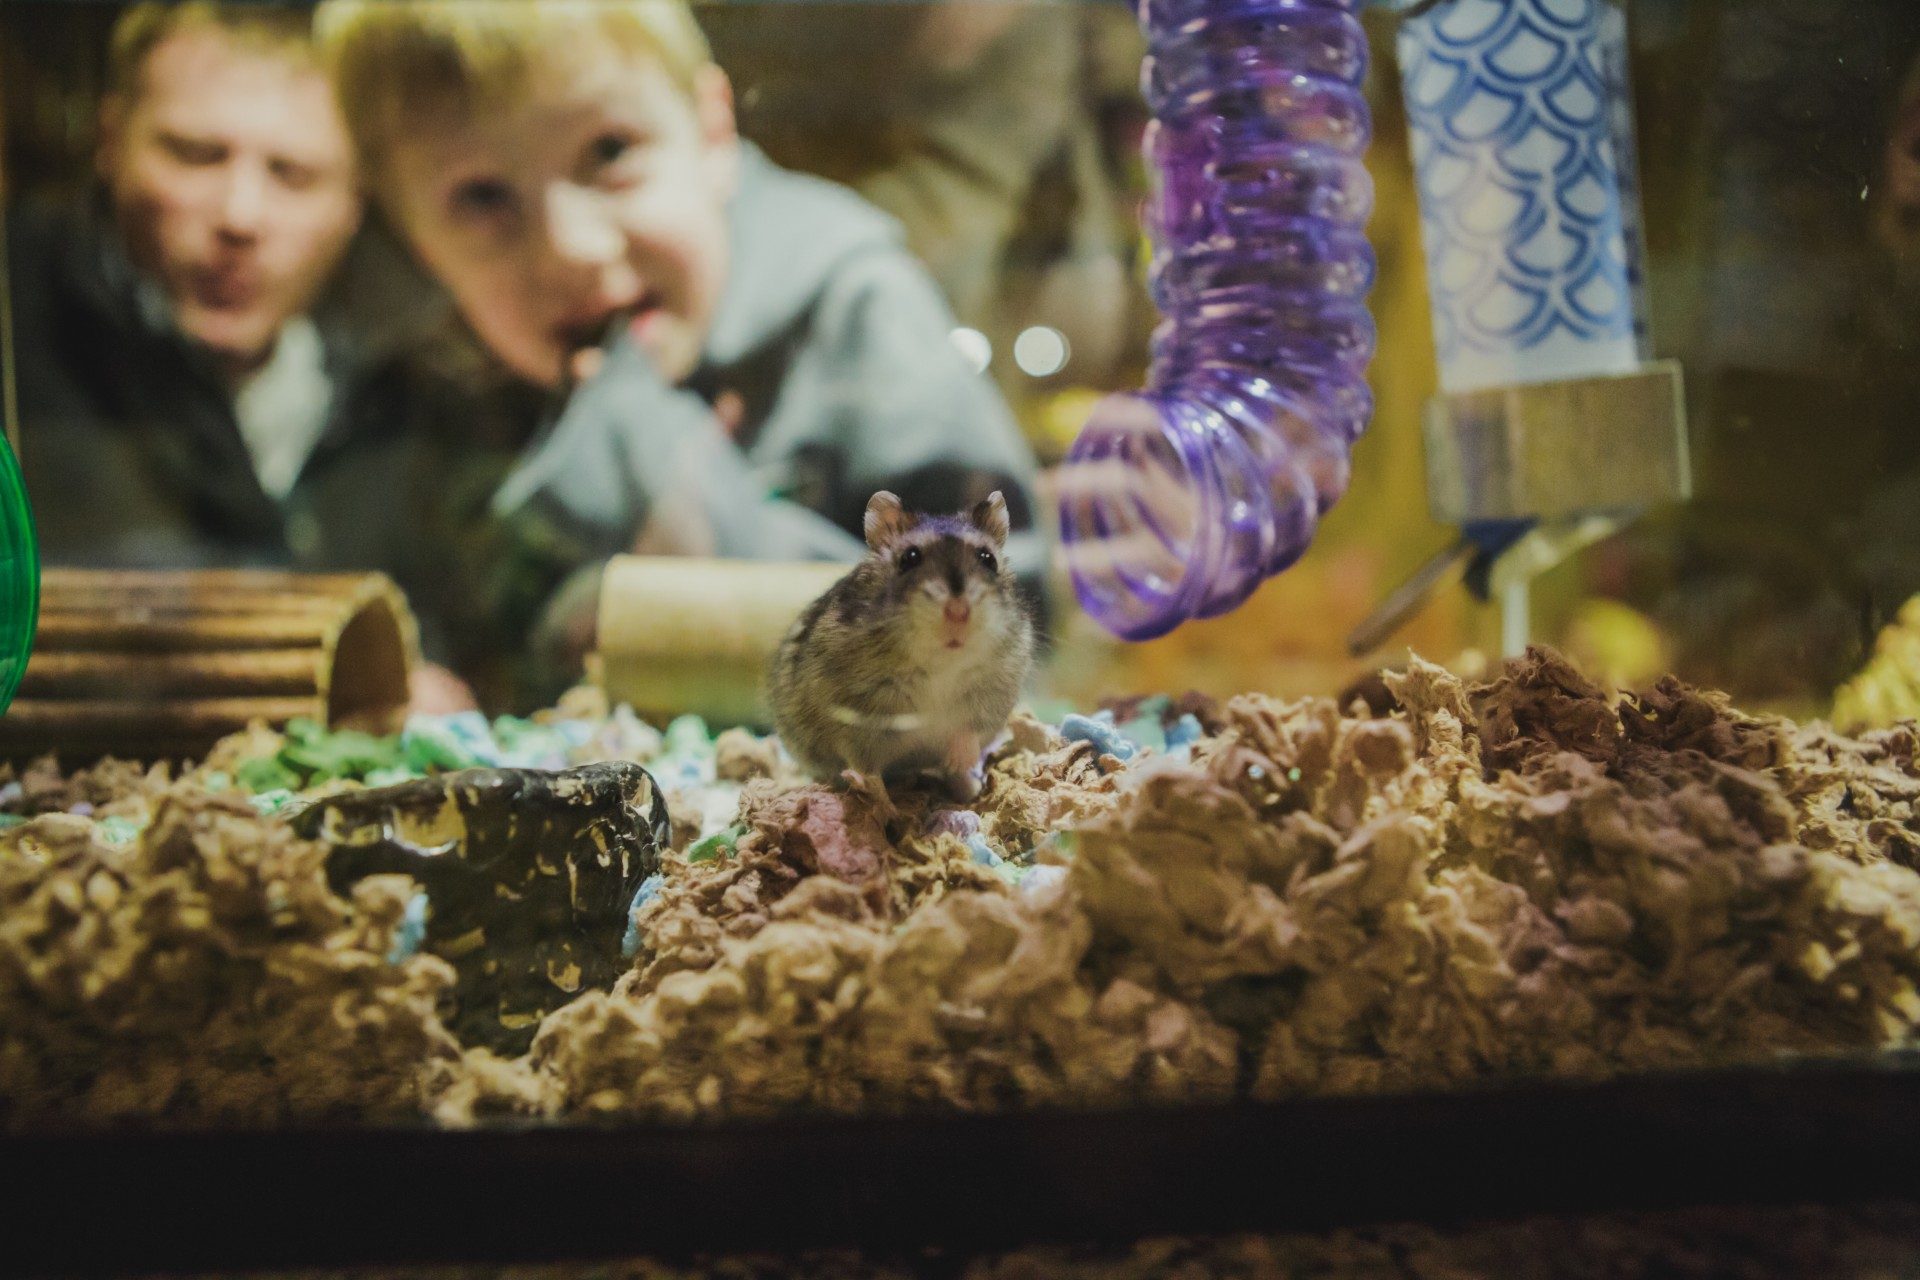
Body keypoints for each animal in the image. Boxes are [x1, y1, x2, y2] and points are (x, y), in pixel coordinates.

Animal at [768, 490, 1036, 796]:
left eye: (988, 559)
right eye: (909, 558)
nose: (958, 612)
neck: (942, 666)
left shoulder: (992, 693)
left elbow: (968, 732)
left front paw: (959, 760)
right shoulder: (853, 712)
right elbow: (863, 758)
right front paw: (863, 783)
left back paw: (967, 785)